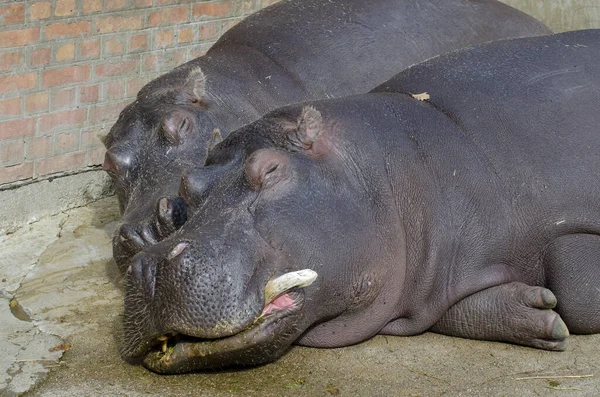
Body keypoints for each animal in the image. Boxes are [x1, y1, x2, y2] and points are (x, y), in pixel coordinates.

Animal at [122, 29, 600, 372]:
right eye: (189, 184)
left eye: (269, 169)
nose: (150, 267)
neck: (410, 162)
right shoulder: (425, 277)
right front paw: (541, 316)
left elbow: (579, 292)